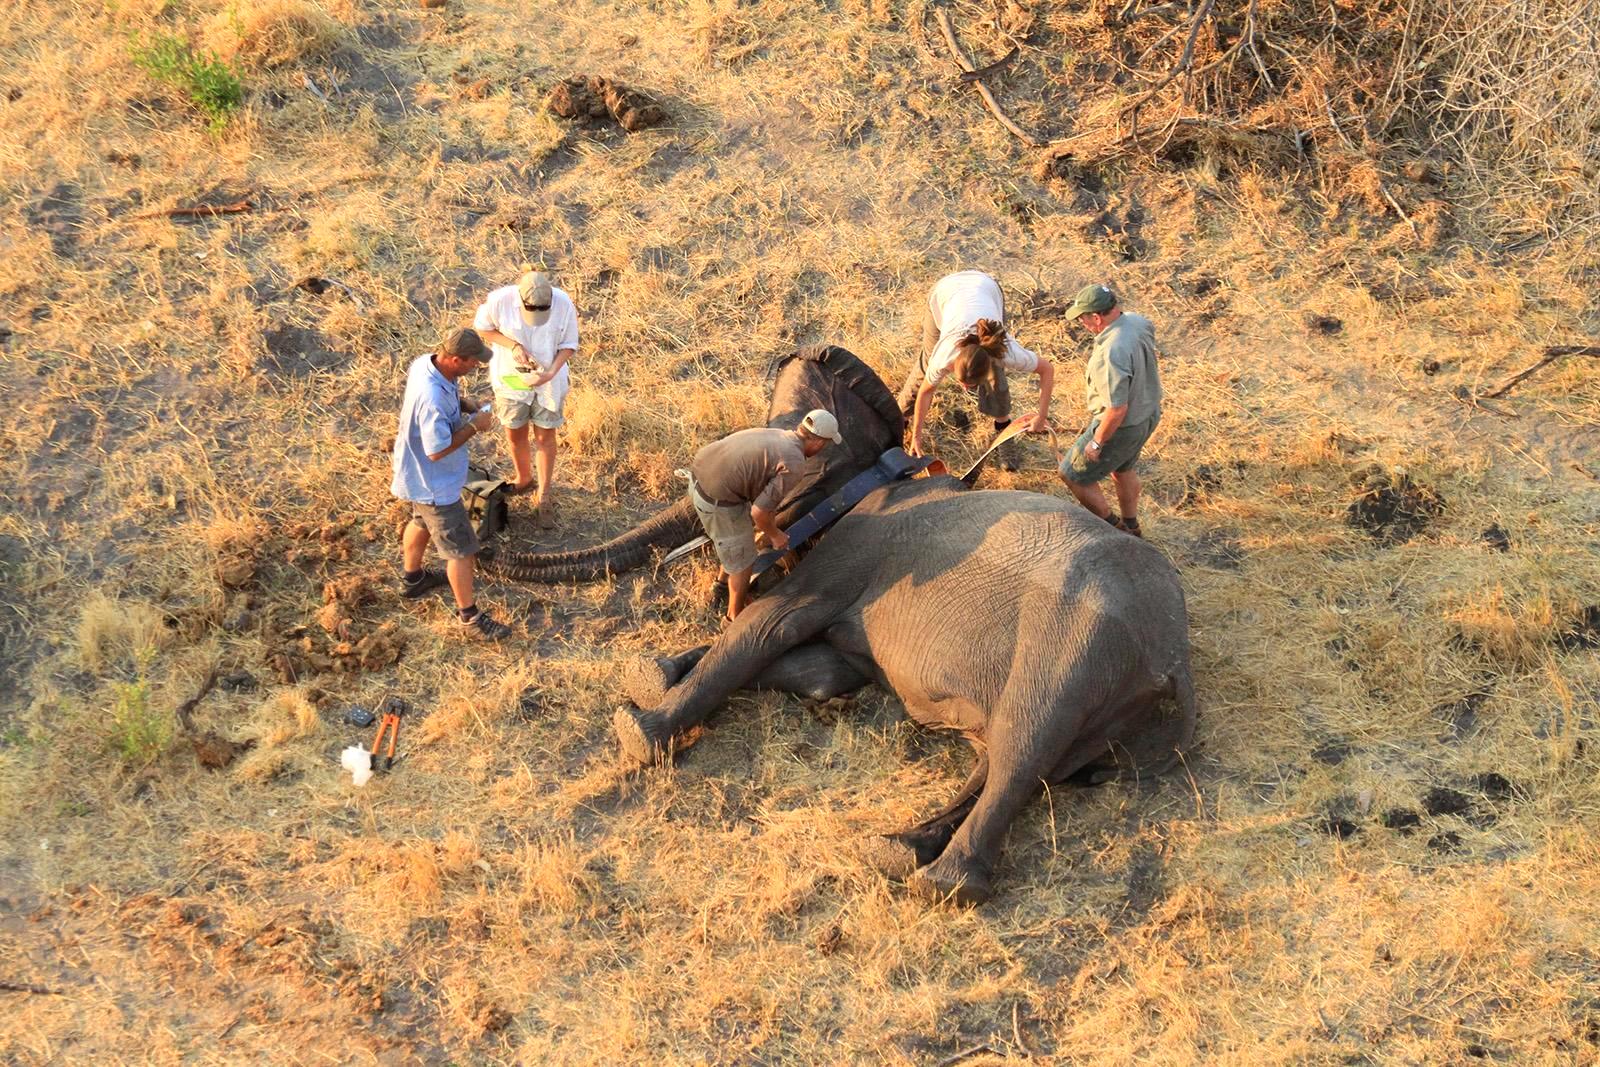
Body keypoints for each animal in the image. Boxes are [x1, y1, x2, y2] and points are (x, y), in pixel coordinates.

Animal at [612, 475, 1198, 905]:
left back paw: (942, 884)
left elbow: (770, 622)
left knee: (1025, 740)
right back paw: (896, 849)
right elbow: (824, 671)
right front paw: (651, 675)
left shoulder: (859, 541)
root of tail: (1175, 654)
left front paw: (640, 729)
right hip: (1113, 703)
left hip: (1077, 643)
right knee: (1017, 758)